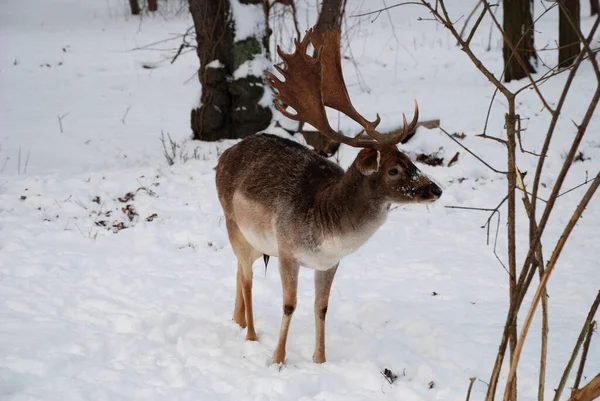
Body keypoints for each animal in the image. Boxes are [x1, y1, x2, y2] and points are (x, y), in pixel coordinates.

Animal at [214, 26, 440, 364]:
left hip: (256, 241)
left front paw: (319, 360)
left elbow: (321, 307)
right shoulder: (287, 250)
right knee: (248, 278)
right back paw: (251, 335)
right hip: (233, 223)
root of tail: (223, 156)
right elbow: (289, 305)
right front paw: (278, 359)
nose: (435, 189)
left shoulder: (330, 263)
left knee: (240, 272)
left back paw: (238, 320)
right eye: (393, 170)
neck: (326, 228)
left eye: (411, 159)